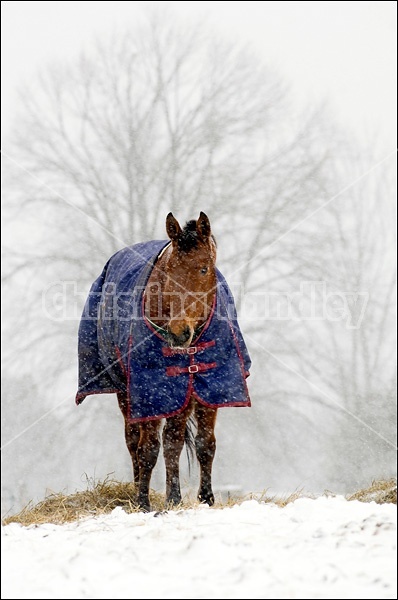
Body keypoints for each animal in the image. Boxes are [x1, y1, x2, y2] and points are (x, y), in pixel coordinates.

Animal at [76, 211, 250, 510]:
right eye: (169, 271)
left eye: (204, 269)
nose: (179, 332)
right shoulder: (150, 392)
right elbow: (149, 448)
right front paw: (144, 502)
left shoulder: (206, 388)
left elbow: (199, 443)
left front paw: (200, 498)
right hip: (126, 393)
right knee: (133, 442)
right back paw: (136, 491)